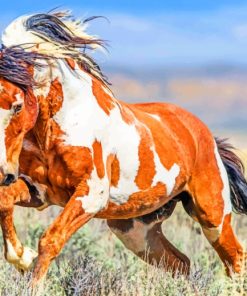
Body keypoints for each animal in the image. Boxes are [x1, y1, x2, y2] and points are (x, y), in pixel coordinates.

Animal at [0, 11, 247, 284]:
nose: (4, 173)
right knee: (180, 263)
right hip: (136, 230)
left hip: (212, 216)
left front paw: (31, 277)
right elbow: (5, 201)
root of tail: (207, 136)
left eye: (18, 106)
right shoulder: (39, 191)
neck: (60, 123)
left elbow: (50, 240)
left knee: (235, 257)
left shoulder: (91, 195)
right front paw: (21, 257)